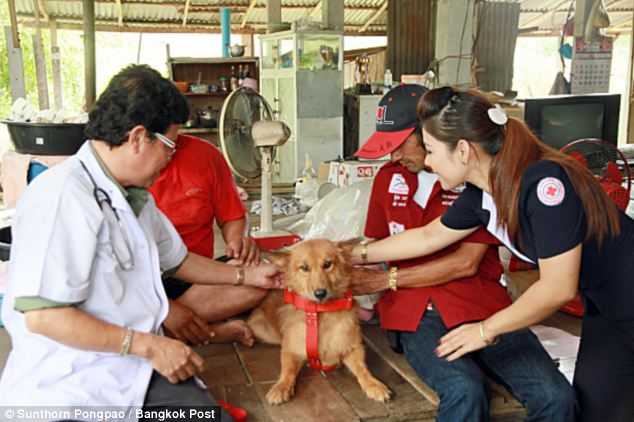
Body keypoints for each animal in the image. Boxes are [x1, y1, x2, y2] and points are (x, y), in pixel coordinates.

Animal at [246, 239, 390, 404]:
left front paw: (373, 384)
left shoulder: (352, 347)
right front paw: (281, 386)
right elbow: (287, 370)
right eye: (304, 268)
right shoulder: (290, 350)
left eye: (327, 264)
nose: (320, 293)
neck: (320, 313)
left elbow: (362, 368)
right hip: (262, 330)